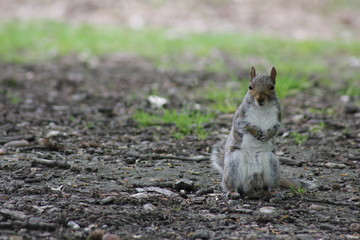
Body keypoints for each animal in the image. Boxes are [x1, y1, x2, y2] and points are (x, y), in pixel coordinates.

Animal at [210, 66, 282, 197]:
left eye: (272, 87)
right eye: (250, 87)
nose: (260, 99)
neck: (261, 108)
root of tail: (251, 183)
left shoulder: (278, 118)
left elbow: (277, 128)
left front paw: (268, 134)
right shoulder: (240, 116)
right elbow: (241, 125)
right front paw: (254, 131)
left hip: (271, 164)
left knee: (269, 184)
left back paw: (273, 191)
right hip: (234, 164)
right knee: (230, 185)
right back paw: (232, 192)